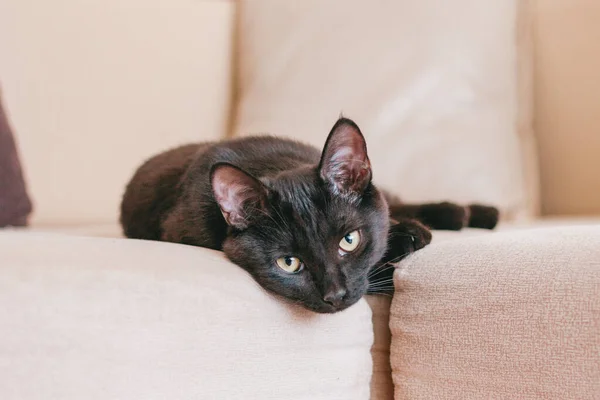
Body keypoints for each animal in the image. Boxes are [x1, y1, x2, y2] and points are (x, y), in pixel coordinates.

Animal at [120, 117, 496, 314]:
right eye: (290, 263)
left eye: (349, 241)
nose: (335, 295)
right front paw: (399, 249)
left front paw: (409, 233)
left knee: (396, 199)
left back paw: (469, 212)